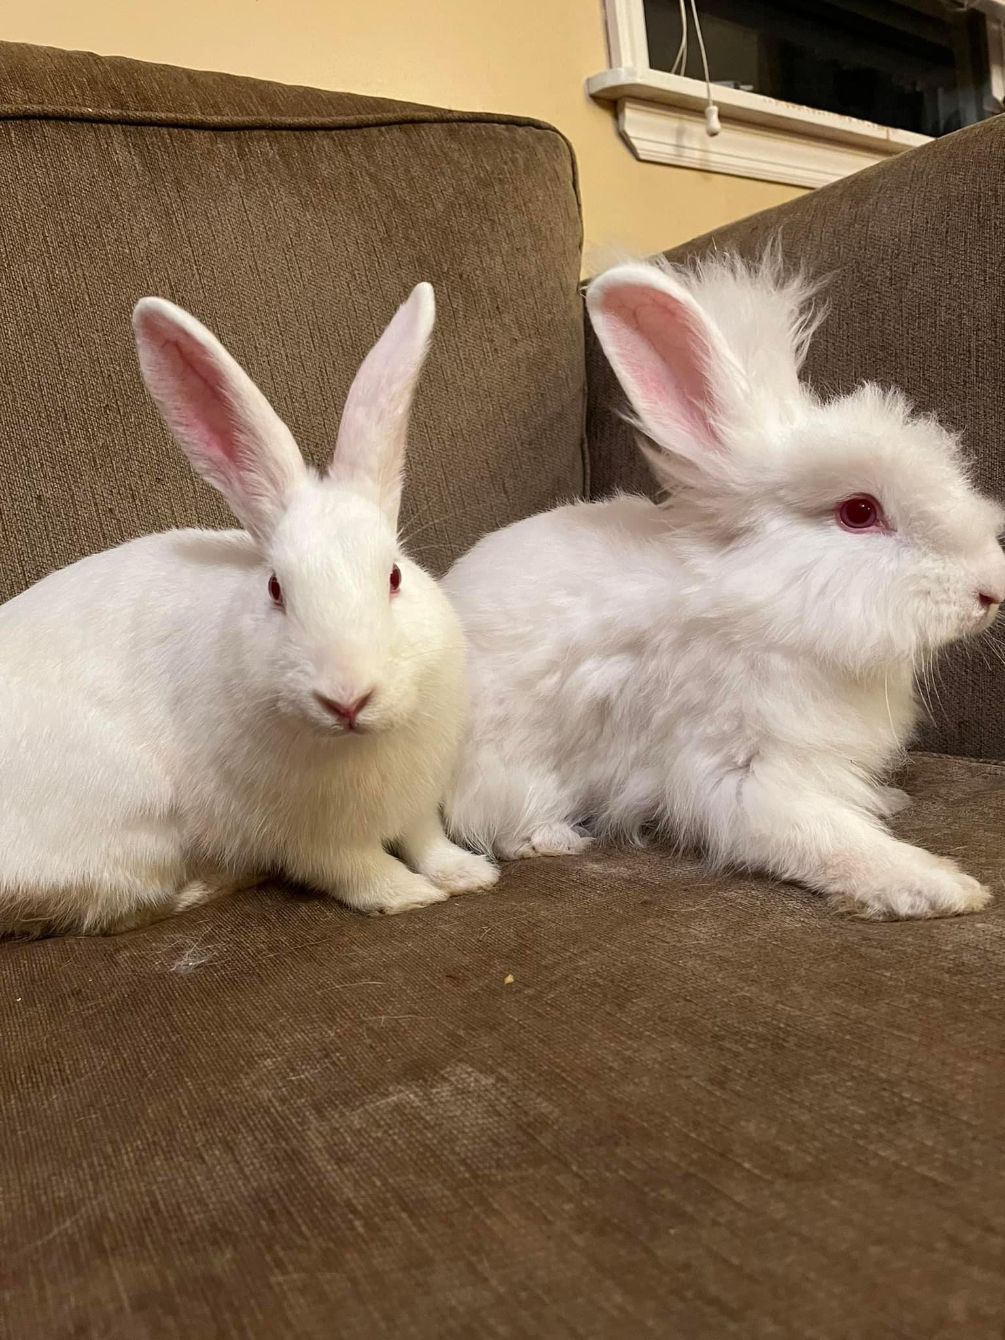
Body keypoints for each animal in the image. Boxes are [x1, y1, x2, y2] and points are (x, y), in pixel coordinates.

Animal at [0, 282, 498, 937]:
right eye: (276, 589)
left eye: (393, 575)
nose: (347, 699)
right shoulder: (310, 839)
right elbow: (359, 869)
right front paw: (410, 897)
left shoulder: (417, 802)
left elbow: (428, 841)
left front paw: (470, 876)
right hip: (135, 829)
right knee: (121, 907)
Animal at [443, 254, 1005, 921]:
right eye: (859, 511)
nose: (992, 590)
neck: (762, 603)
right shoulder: (738, 766)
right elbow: (821, 834)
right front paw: (937, 886)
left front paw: (887, 803)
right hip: (503, 772)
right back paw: (555, 838)